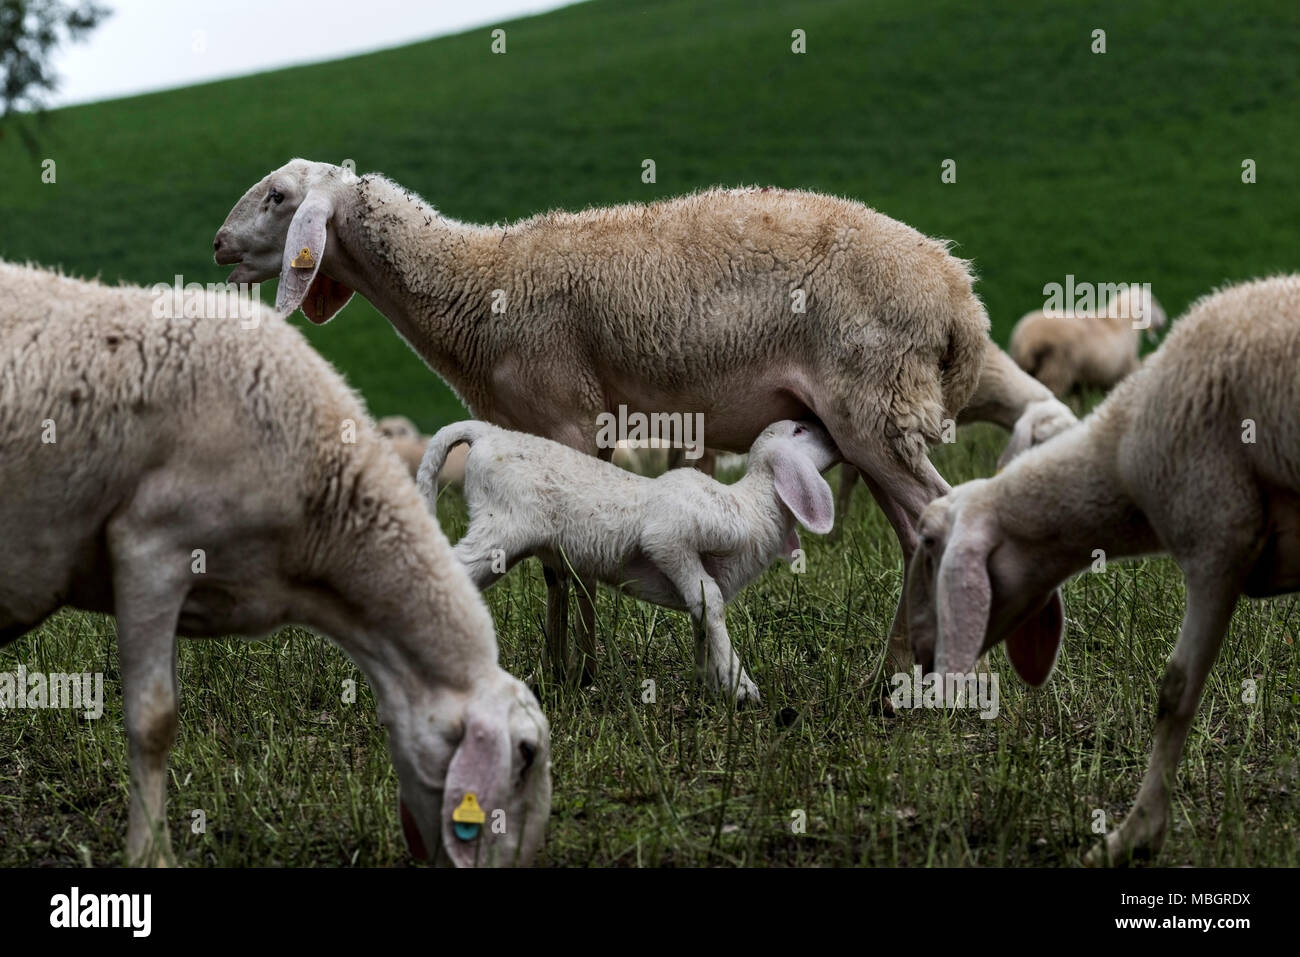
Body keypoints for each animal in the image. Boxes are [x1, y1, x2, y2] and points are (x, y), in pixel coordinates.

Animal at [415, 418, 841, 704]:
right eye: (800, 430)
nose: (836, 436)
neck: (750, 504)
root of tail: (486, 433)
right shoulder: (668, 537)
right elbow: (710, 601)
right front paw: (742, 687)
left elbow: (701, 617)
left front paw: (712, 682)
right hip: (500, 529)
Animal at [1009, 284, 1168, 397]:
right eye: (1155, 302)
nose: (1165, 320)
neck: (1124, 318)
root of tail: (1027, 340)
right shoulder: (1118, 373)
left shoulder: (1080, 381)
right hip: (1056, 371)